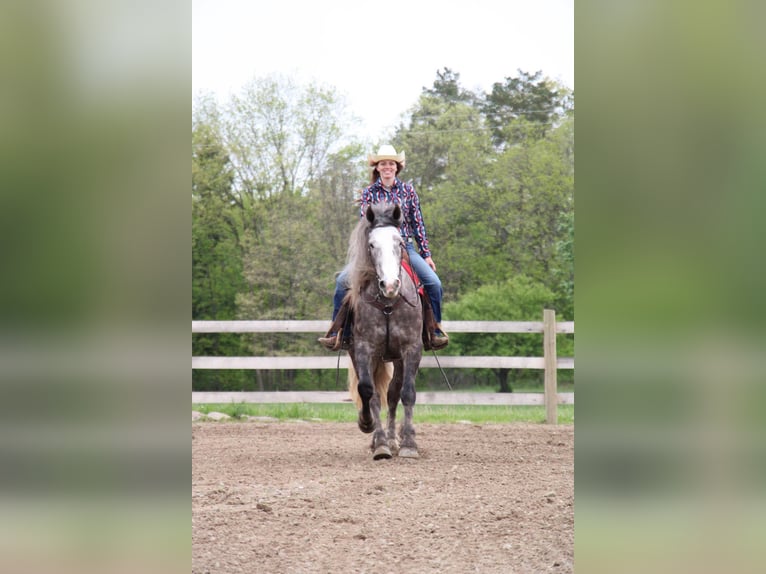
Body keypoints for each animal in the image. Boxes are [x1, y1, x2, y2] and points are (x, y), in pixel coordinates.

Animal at [344, 201, 424, 460]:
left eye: (399, 242)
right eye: (371, 245)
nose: (390, 285)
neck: (389, 303)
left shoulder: (412, 348)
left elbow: (407, 393)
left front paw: (408, 443)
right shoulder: (364, 349)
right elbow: (368, 392)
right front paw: (375, 437)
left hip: (397, 358)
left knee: (393, 394)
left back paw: (393, 439)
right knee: (376, 394)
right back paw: (380, 440)